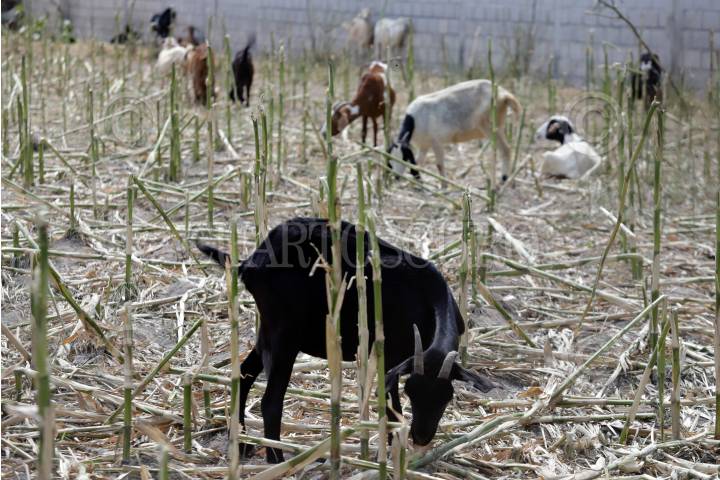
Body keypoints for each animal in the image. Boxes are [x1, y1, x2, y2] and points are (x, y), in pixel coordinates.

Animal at [197, 219, 496, 464]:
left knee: (243, 375)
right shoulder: (390, 355)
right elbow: (392, 409)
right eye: (412, 392)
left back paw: (243, 444)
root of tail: (251, 263)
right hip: (284, 337)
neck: (428, 298)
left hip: (267, 332)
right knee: (271, 401)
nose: (422, 437)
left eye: (447, 397)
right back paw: (276, 460)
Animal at [386, 80, 520, 182]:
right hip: (492, 127)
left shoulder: (436, 142)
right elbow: (419, 163)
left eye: (404, 157)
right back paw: (465, 172)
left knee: (505, 149)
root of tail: (504, 94)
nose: (396, 177)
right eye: (391, 158)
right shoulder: (424, 146)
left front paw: (444, 186)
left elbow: (439, 165)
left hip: (487, 125)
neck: (415, 120)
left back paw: (502, 180)